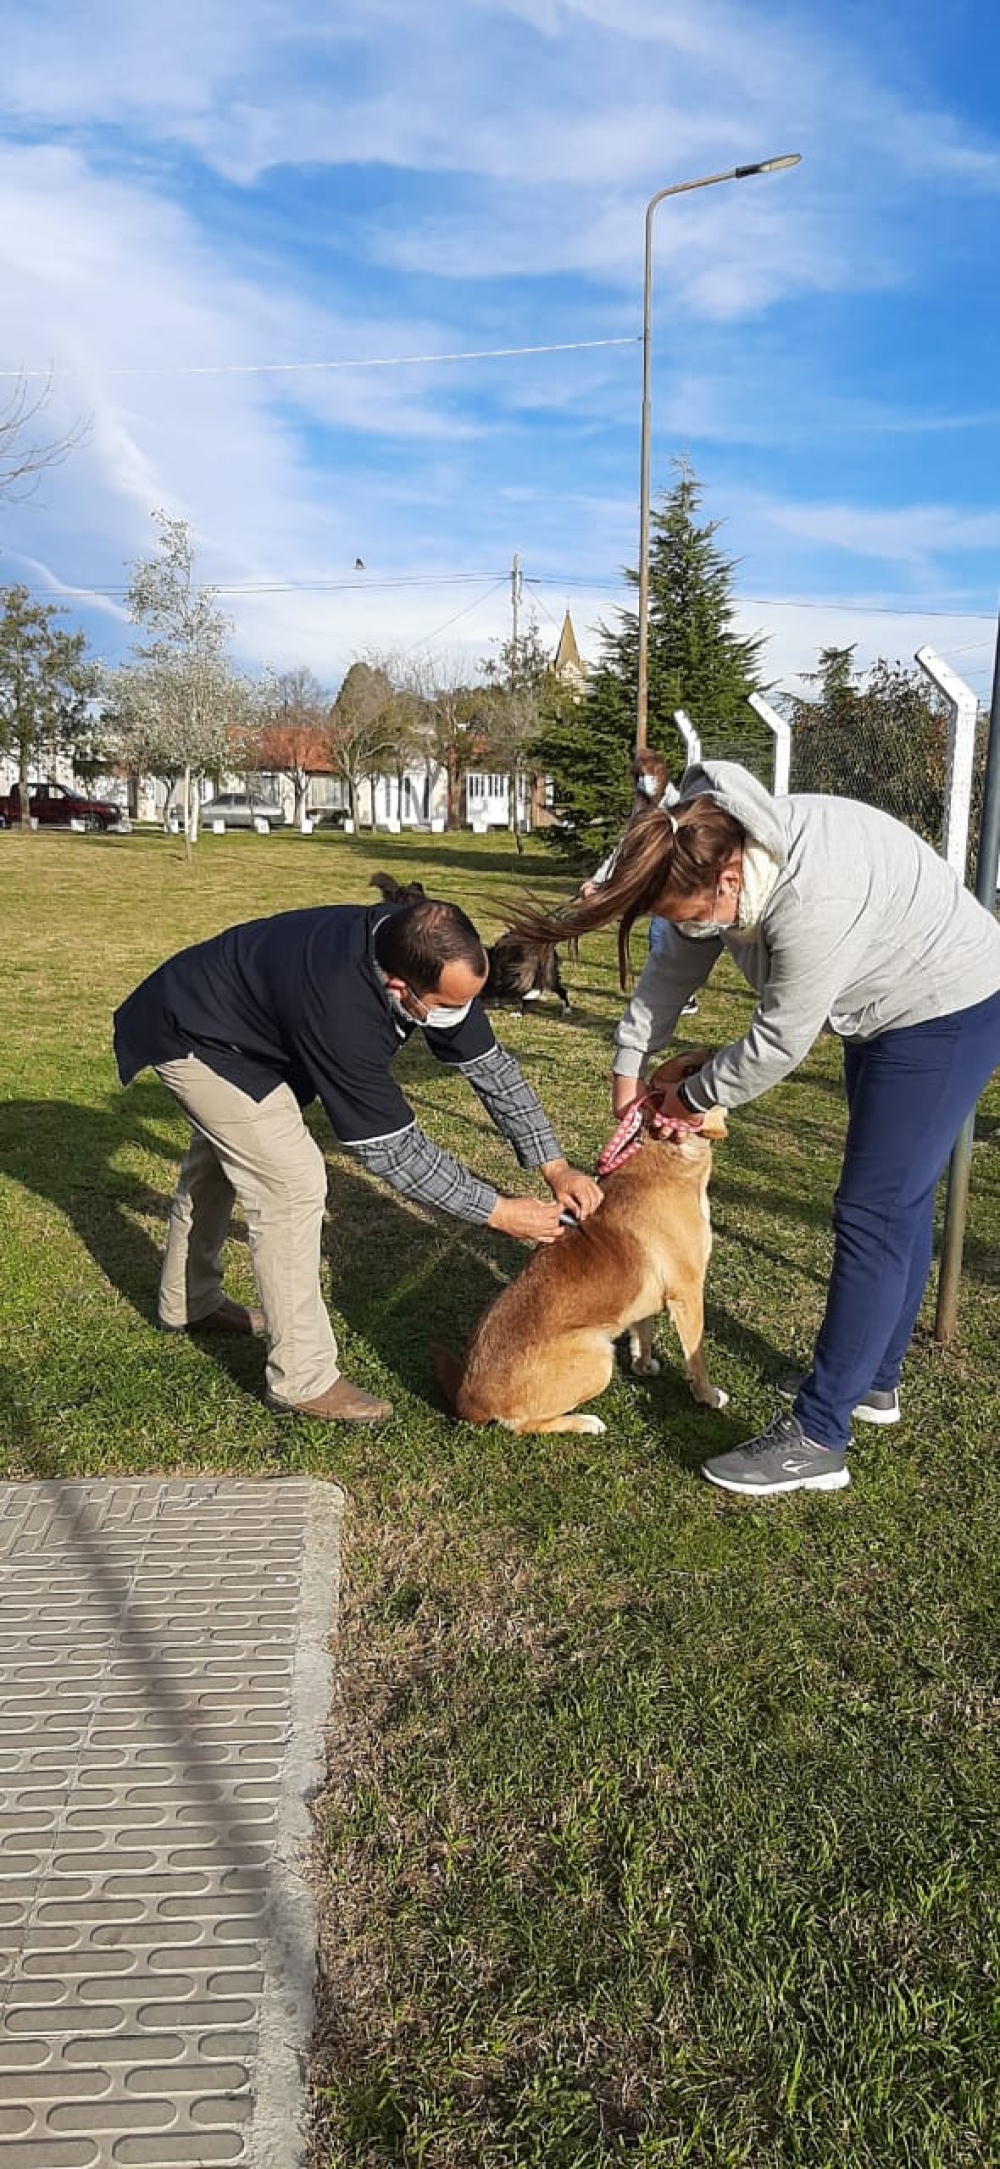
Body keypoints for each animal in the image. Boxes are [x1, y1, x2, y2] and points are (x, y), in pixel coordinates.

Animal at [431, 1054, 724, 1440]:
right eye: (690, 1071)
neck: (667, 1151)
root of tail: (469, 1398)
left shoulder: (652, 1297)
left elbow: (643, 1331)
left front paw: (643, 1364)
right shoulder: (688, 1293)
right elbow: (697, 1356)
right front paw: (707, 1395)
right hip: (598, 1356)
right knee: (524, 1426)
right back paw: (585, 1421)